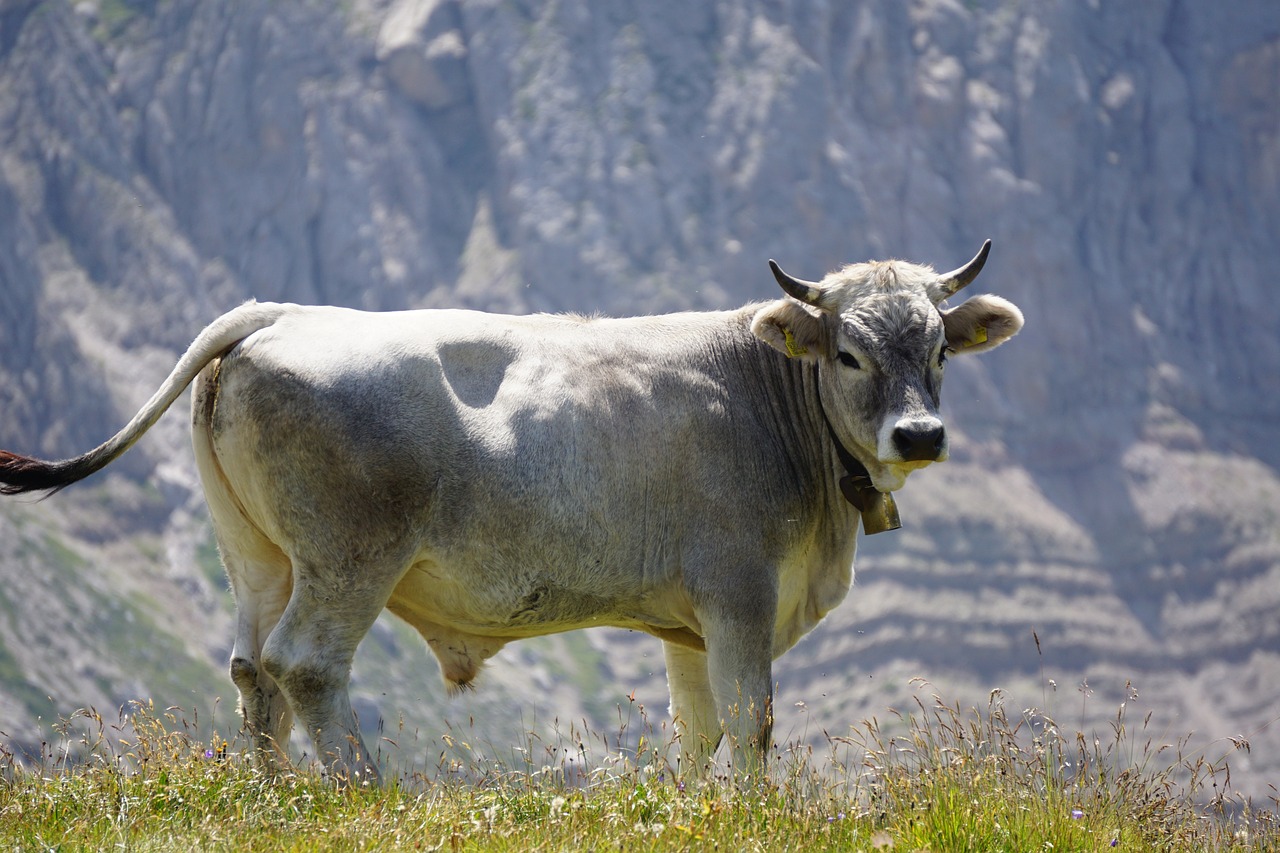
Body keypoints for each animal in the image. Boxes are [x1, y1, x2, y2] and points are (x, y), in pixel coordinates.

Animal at [0, 242, 1018, 778]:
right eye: (847, 353)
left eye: (939, 348)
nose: (920, 434)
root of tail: (281, 312)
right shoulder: (739, 594)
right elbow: (754, 719)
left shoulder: (689, 622)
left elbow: (699, 727)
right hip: (348, 558)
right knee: (306, 665)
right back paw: (365, 794)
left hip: (256, 557)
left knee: (254, 674)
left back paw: (276, 794)